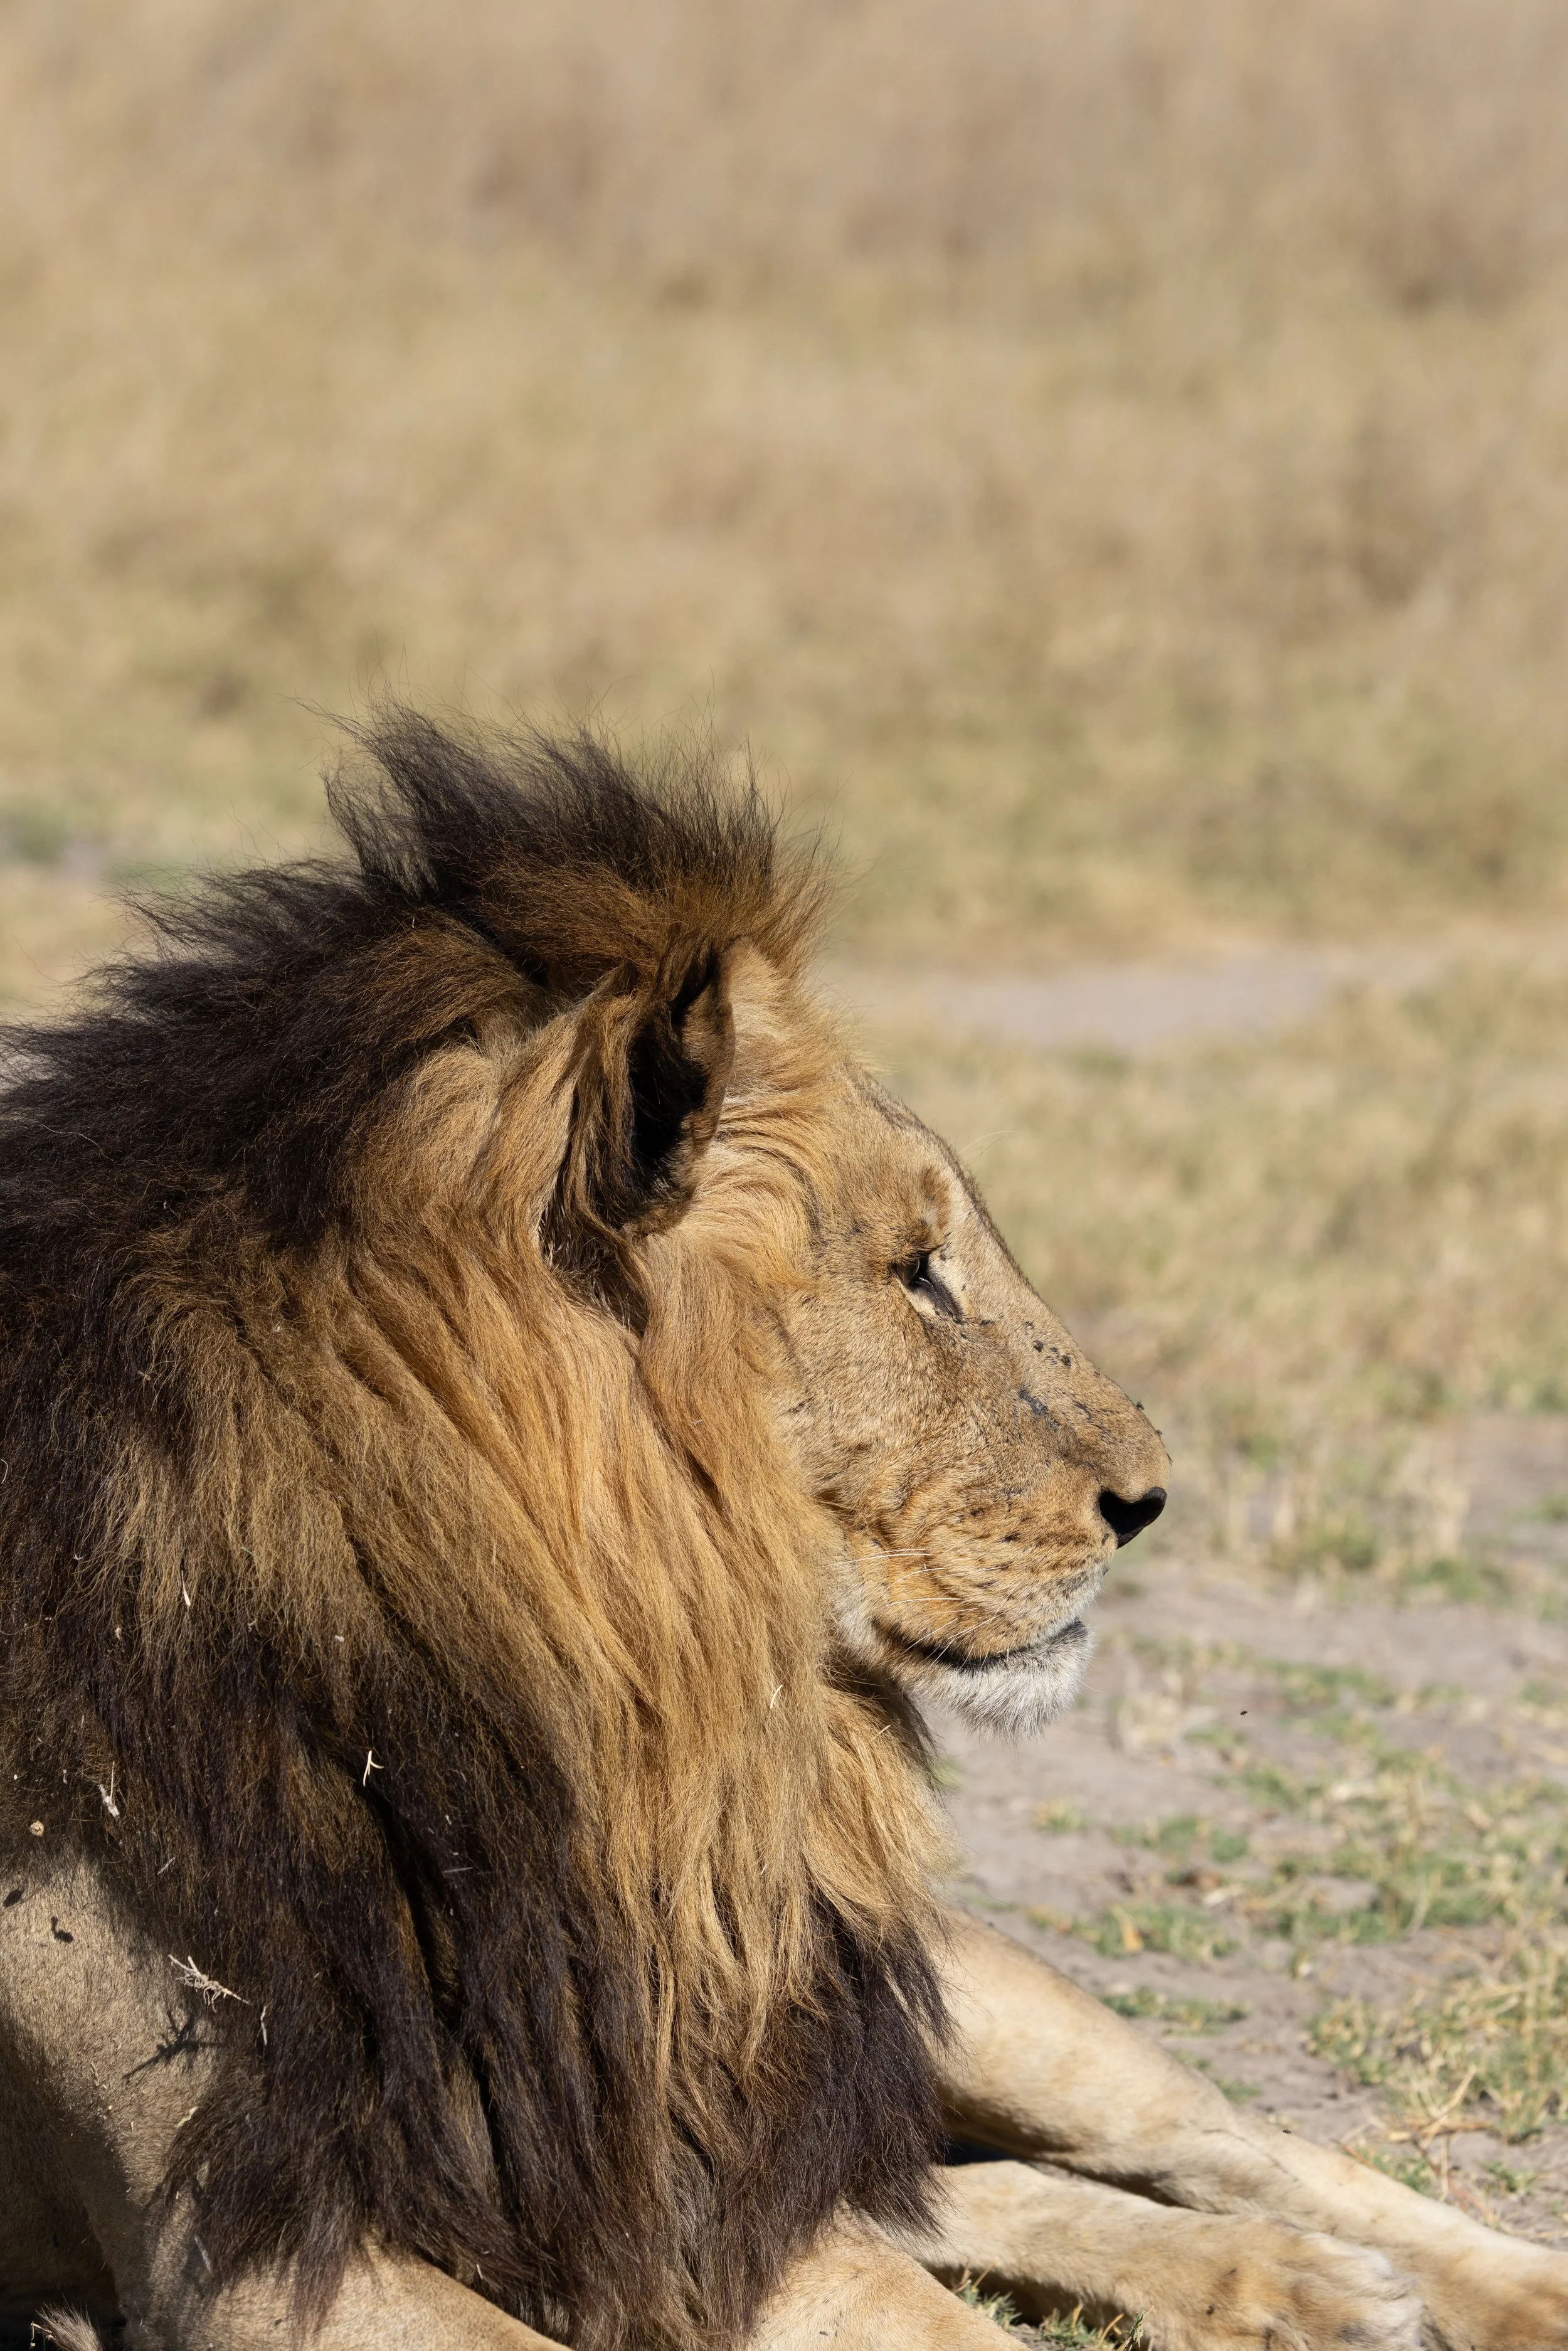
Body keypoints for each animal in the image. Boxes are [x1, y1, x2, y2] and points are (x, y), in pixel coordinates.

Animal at [1, 716, 1564, 2351]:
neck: (572, 1734)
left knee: (1237, 2141)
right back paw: (1286, 2285)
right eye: (913, 1268)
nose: (1149, 1497)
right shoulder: (251, 2251)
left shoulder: (684, 2156)